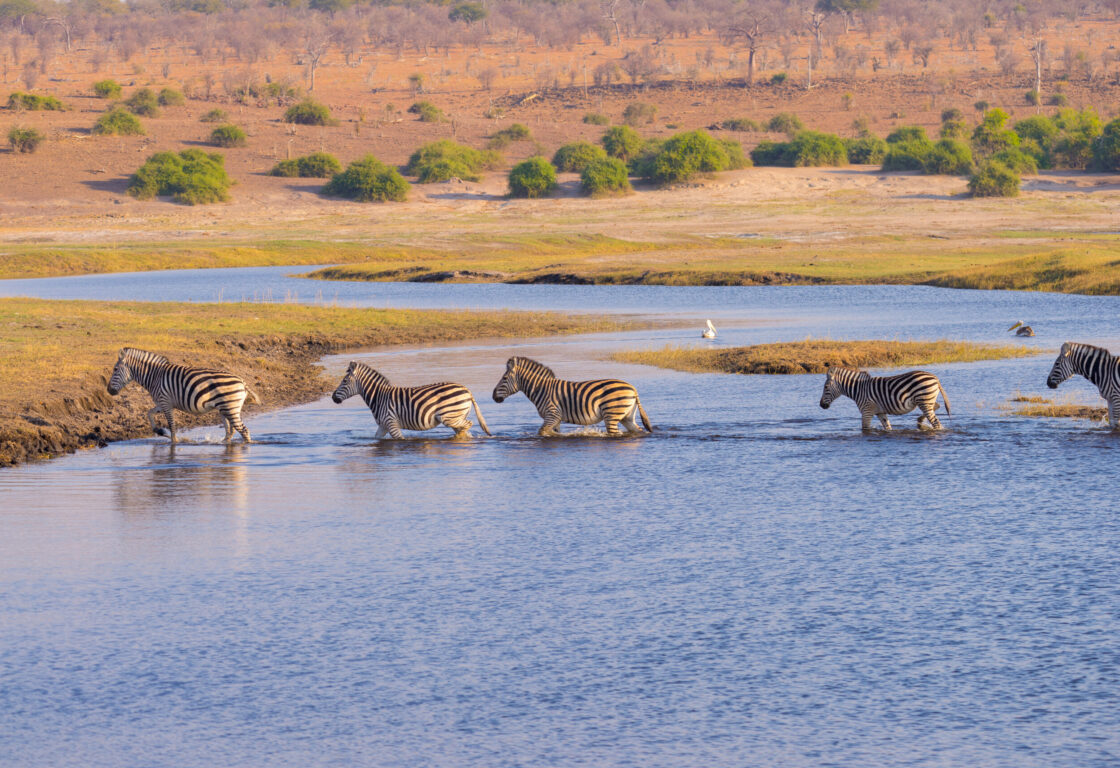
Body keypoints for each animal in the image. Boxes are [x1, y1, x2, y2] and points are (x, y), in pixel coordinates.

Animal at [107, 347, 260, 443]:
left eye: (115, 369)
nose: (108, 391)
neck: (155, 376)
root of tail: (242, 381)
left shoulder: (166, 402)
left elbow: (172, 425)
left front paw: (174, 442)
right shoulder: (162, 403)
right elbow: (149, 413)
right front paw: (159, 431)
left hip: (230, 407)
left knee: (244, 431)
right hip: (226, 408)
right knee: (230, 431)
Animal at [331, 361, 491, 439]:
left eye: (344, 381)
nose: (333, 398)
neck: (379, 397)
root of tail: (467, 390)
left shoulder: (391, 423)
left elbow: (400, 440)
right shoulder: (383, 425)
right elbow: (377, 437)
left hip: (450, 415)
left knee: (468, 425)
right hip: (455, 416)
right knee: (463, 428)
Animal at [491, 356, 652, 436]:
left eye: (504, 378)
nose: (493, 396)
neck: (540, 389)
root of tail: (633, 389)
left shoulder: (552, 414)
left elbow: (543, 431)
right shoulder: (555, 419)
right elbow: (551, 432)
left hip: (612, 414)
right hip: (627, 416)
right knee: (638, 431)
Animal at [819, 366, 950, 431]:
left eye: (825, 387)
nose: (821, 405)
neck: (859, 390)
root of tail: (935, 377)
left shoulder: (867, 411)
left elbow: (865, 428)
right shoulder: (880, 412)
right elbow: (887, 427)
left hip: (924, 400)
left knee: (936, 423)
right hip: (926, 400)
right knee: (936, 406)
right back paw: (920, 421)